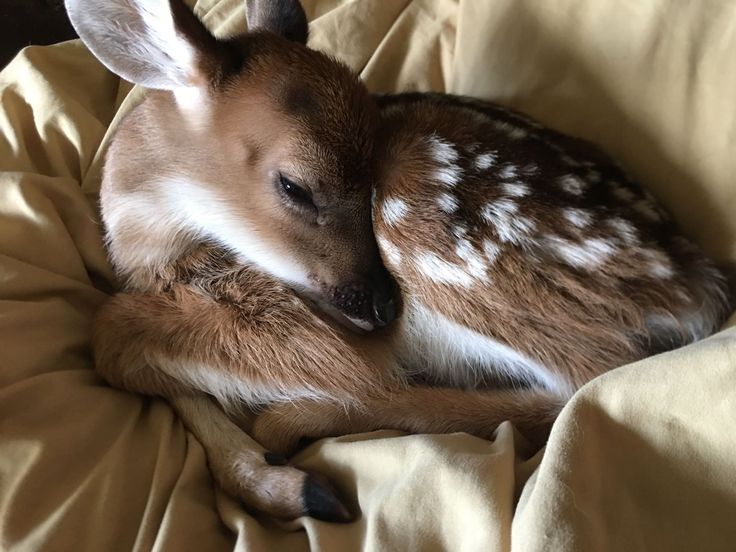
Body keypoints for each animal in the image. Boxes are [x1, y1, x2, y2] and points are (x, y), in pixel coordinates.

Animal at [67, 0, 732, 524]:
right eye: (296, 186)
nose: (383, 308)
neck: (157, 253)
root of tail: (701, 283)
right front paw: (275, 479)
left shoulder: (313, 332)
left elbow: (112, 334)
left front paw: (290, 476)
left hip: (427, 224)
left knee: (587, 379)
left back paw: (296, 419)